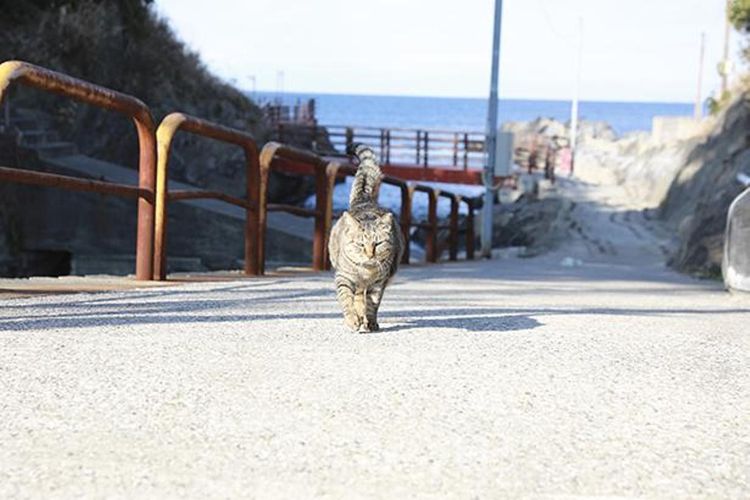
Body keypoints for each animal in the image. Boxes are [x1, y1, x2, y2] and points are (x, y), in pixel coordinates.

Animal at [328, 144, 406, 332]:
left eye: (377, 244)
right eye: (360, 244)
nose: (370, 255)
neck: (366, 272)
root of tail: (365, 200)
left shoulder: (379, 283)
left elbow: (372, 304)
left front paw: (370, 321)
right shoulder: (343, 277)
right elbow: (346, 299)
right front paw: (352, 319)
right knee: (356, 296)